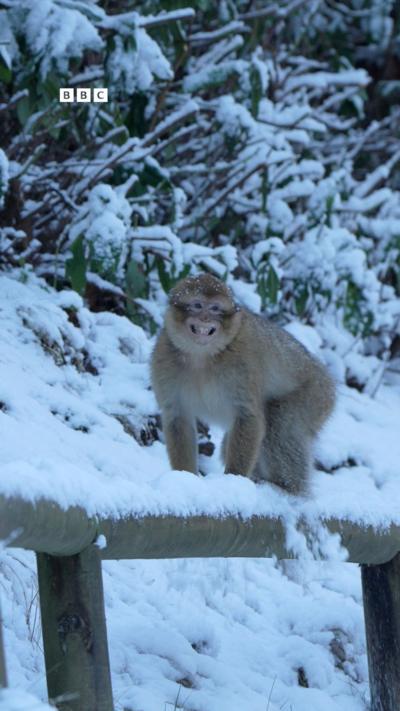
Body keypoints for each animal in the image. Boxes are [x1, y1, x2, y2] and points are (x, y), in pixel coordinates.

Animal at [150, 274, 335, 494]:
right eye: (197, 305)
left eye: (214, 309)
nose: (205, 319)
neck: (201, 356)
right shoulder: (163, 359)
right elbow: (178, 417)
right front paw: (185, 477)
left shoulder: (243, 364)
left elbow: (248, 416)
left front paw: (233, 479)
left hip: (316, 396)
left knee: (279, 427)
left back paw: (287, 488)